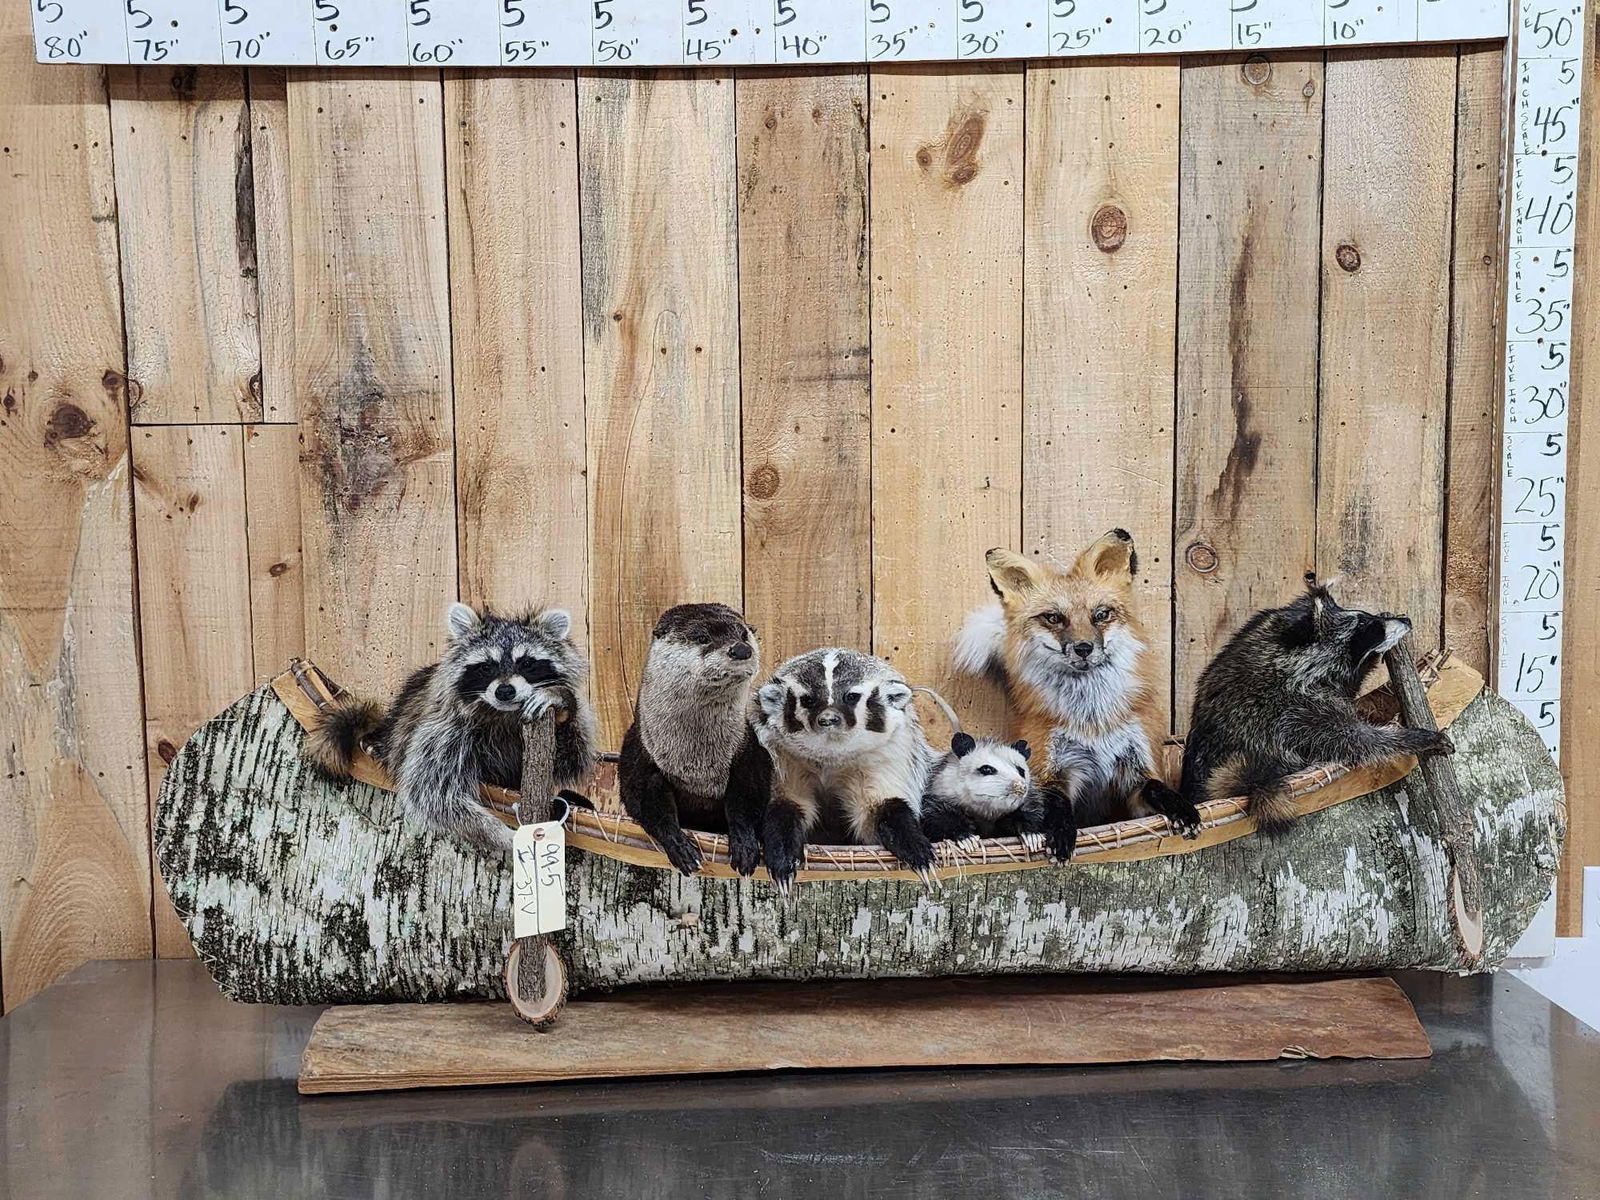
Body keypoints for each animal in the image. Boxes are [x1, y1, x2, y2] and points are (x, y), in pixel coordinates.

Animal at [303, 603, 597, 852]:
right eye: (487, 667)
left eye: (526, 662)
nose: (505, 691)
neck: (503, 713)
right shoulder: (446, 729)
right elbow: (433, 793)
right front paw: (500, 834)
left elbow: (568, 760)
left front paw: (562, 701)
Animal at [618, 603, 772, 877]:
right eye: (702, 637)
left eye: (744, 635)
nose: (741, 649)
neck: (698, 765)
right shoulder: (640, 756)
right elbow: (646, 806)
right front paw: (680, 847)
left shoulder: (748, 755)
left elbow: (747, 801)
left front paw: (745, 846)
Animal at [754, 648, 937, 890]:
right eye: (808, 699)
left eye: (851, 696)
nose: (828, 719)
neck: (831, 757)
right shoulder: (780, 756)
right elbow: (787, 804)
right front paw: (783, 861)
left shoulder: (885, 754)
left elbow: (879, 808)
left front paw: (919, 852)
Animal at [919, 733, 1049, 853]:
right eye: (986, 769)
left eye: (1021, 770)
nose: (1020, 786)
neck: (985, 814)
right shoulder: (935, 799)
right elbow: (941, 821)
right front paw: (967, 838)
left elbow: (1029, 813)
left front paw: (1031, 834)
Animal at [954, 528, 1201, 862]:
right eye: (1054, 618)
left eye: (1101, 615)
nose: (1084, 648)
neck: (1092, 722)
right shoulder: (1049, 769)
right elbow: (1057, 804)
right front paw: (1060, 835)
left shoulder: (1137, 776)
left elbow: (1156, 787)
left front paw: (1183, 810)